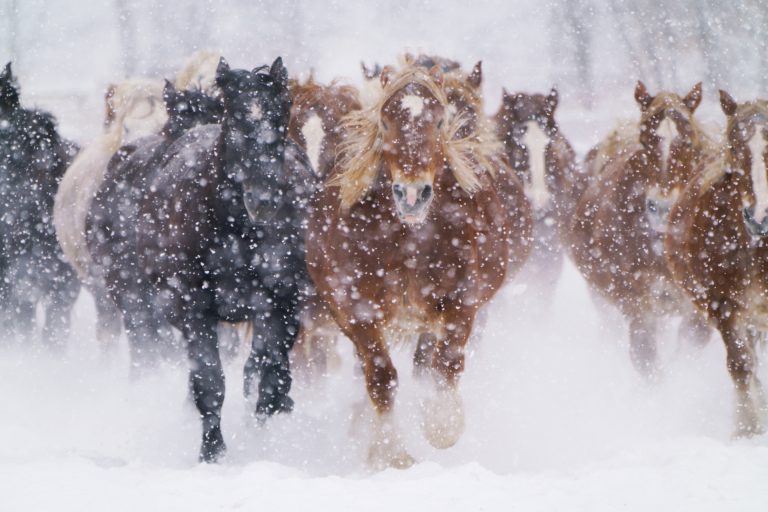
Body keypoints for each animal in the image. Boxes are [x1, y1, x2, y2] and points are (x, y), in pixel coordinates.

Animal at [307, 63, 531, 469]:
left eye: (440, 121)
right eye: (384, 122)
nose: (412, 194)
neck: (409, 237)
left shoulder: (461, 301)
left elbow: (447, 364)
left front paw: (441, 425)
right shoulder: (359, 312)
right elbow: (381, 377)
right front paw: (390, 452)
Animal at [568, 81, 716, 378]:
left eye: (688, 141)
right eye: (647, 141)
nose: (661, 207)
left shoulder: (697, 305)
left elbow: (691, 342)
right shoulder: (637, 302)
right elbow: (645, 357)